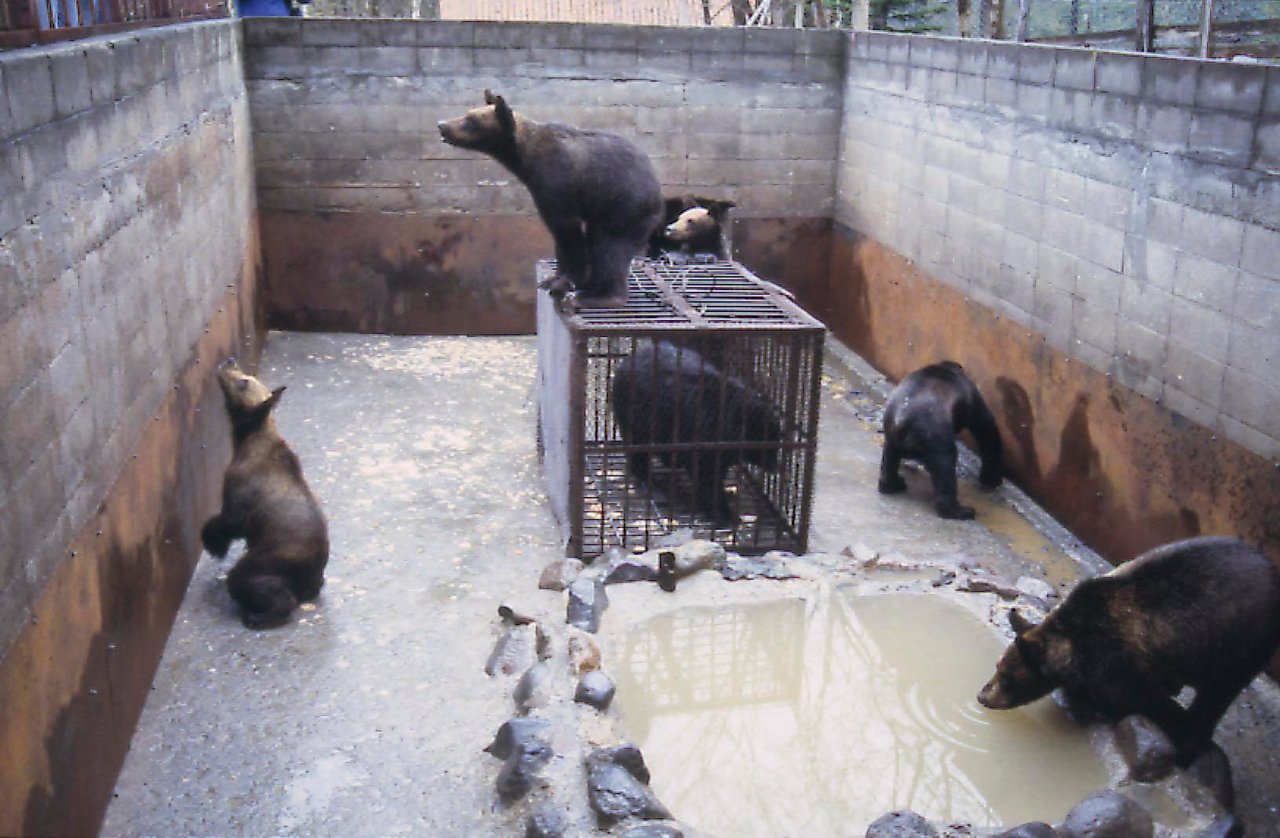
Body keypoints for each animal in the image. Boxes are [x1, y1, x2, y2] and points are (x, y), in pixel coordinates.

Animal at [200, 358, 330, 629]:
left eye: (243, 382)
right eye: (245, 375)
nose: (229, 360)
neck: (249, 437)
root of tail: (312, 574)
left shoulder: (237, 505)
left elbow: (223, 523)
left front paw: (214, 543)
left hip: (262, 565)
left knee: (270, 593)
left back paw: (256, 617)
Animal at [437, 89, 660, 310]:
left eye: (470, 119)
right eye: (468, 113)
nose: (441, 124)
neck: (525, 159)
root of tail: (658, 196)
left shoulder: (556, 184)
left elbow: (567, 232)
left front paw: (564, 281)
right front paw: (551, 279)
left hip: (624, 207)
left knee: (611, 248)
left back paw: (598, 296)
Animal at [609, 340, 778, 524]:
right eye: (763, 442)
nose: (776, 466)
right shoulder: (703, 440)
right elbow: (707, 478)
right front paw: (722, 513)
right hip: (635, 416)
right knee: (638, 452)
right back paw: (651, 485)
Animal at [875, 360, 1003, 516]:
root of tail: (902, 419)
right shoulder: (973, 395)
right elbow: (986, 429)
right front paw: (991, 478)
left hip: (891, 431)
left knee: (890, 454)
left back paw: (891, 483)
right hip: (933, 436)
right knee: (945, 466)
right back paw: (954, 510)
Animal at [977, 537, 1280, 767]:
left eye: (1007, 677)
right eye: (997, 666)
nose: (983, 696)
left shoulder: (1120, 662)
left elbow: (1130, 697)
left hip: (1241, 645)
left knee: (1214, 699)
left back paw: (1188, 748)